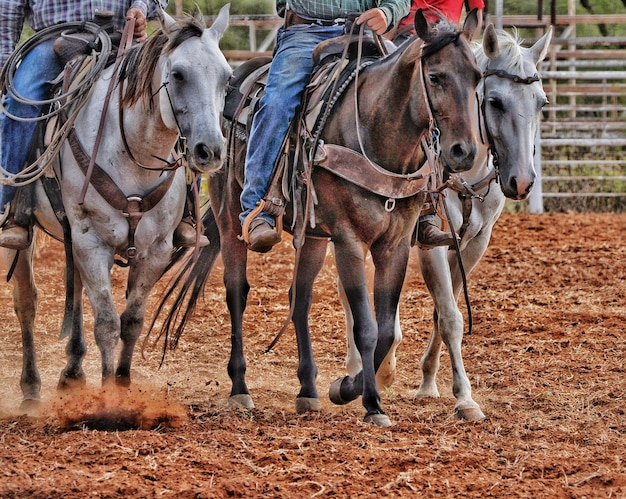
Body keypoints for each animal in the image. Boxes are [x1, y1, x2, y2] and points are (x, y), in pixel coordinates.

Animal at [1, 4, 230, 410]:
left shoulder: (156, 249)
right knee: (26, 301)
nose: (211, 150)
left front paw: (122, 385)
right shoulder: (92, 243)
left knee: (75, 292)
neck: (132, 150)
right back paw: (31, 387)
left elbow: (132, 321)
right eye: (178, 74)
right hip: (27, 239)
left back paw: (72, 372)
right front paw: (108, 397)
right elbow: (107, 323)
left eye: (227, 78)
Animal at [154, 9, 480, 428]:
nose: (463, 151)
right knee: (236, 293)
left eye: (477, 76)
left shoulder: (394, 245)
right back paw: (240, 388)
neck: (375, 134)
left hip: (311, 236)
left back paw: (307, 390)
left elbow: (386, 329)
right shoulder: (348, 241)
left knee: (299, 299)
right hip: (229, 218)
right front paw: (370, 402)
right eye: (436, 76)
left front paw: (345, 387)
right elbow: (367, 328)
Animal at [336, 23, 552, 422]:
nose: (522, 181)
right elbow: (451, 317)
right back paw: (362, 367)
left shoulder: (473, 245)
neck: (463, 177)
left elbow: (443, 312)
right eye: (494, 102)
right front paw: (465, 398)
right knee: (347, 292)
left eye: (541, 102)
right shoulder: (428, 245)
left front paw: (428, 384)